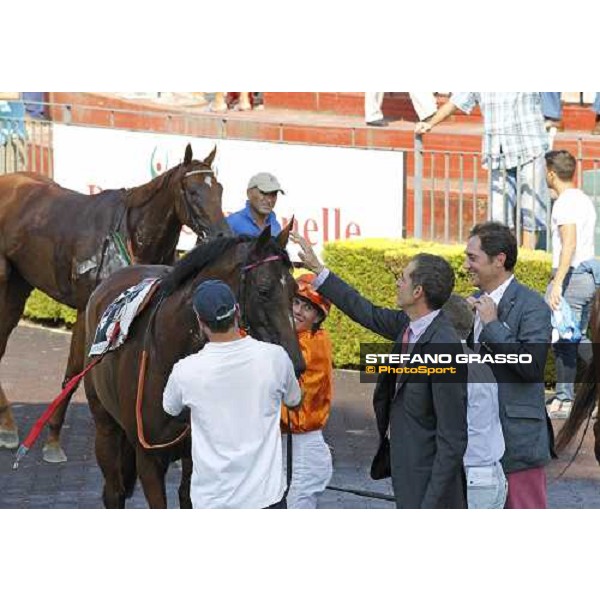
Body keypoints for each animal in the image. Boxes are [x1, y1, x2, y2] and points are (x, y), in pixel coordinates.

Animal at [0, 143, 230, 462]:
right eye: (192, 191)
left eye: (218, 188)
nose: (223, 234)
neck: (131, 233)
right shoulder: (87, 311)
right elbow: (74, 373)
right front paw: (54, 441)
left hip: (17, 286)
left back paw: (7, 425)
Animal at [83, 224, 304, 506]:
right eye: (264, 290)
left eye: (295, 291)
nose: (297, 363)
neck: (169, 356)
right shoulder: (148, 458)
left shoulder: (195, 453)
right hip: (105, 424)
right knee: (113, 490)